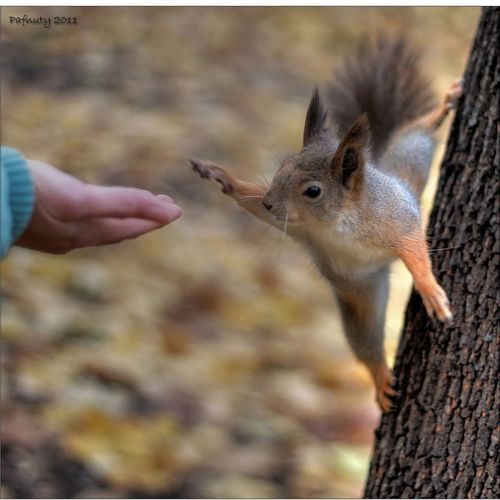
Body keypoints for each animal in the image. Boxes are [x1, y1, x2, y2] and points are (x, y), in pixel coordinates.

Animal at [189, 34, 462, 410]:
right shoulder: (301, 229)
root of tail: (377, 167)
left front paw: (430, 290)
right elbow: (252, 205)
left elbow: (413, 247)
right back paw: (380, 377)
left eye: (313, 191)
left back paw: (443, 106)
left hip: (401, 190)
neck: (335, 224)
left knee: (414, 139)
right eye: (281, 168)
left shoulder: (393, 218)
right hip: (361, 297)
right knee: (365, 341)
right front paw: (223, 178)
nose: (270, 201)